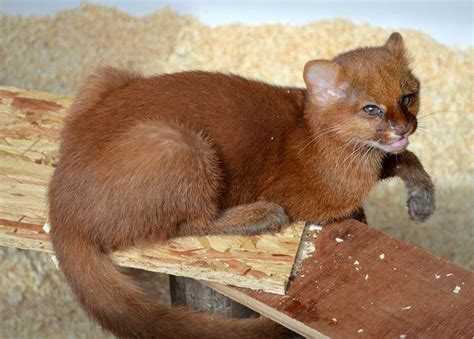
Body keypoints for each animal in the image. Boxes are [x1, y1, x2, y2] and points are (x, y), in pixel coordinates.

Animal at [50, 32, 436, 339]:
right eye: (371, 109)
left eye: (407, 97)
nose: (404, 127)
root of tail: (59, 204)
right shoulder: (315, 200)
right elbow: (367, 192)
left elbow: (407, 158)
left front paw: (421, 203)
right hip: (180, 145)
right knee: (186, 224)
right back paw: (261, 215)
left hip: (107, 75)